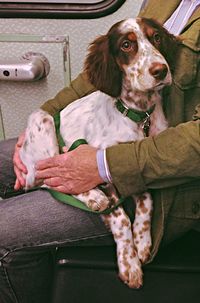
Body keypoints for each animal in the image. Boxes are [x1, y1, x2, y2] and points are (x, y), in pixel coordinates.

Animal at [19, 18, 179, 290]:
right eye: (126, 45)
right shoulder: (94, 167)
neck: (137, 114)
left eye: (156, 37)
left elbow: (147, 203)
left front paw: (142, 243)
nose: (161, 71)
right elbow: (121, 218)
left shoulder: (132, 167)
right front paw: (129, 264)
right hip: (44, 121)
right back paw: (93, 197)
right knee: (48, 178)